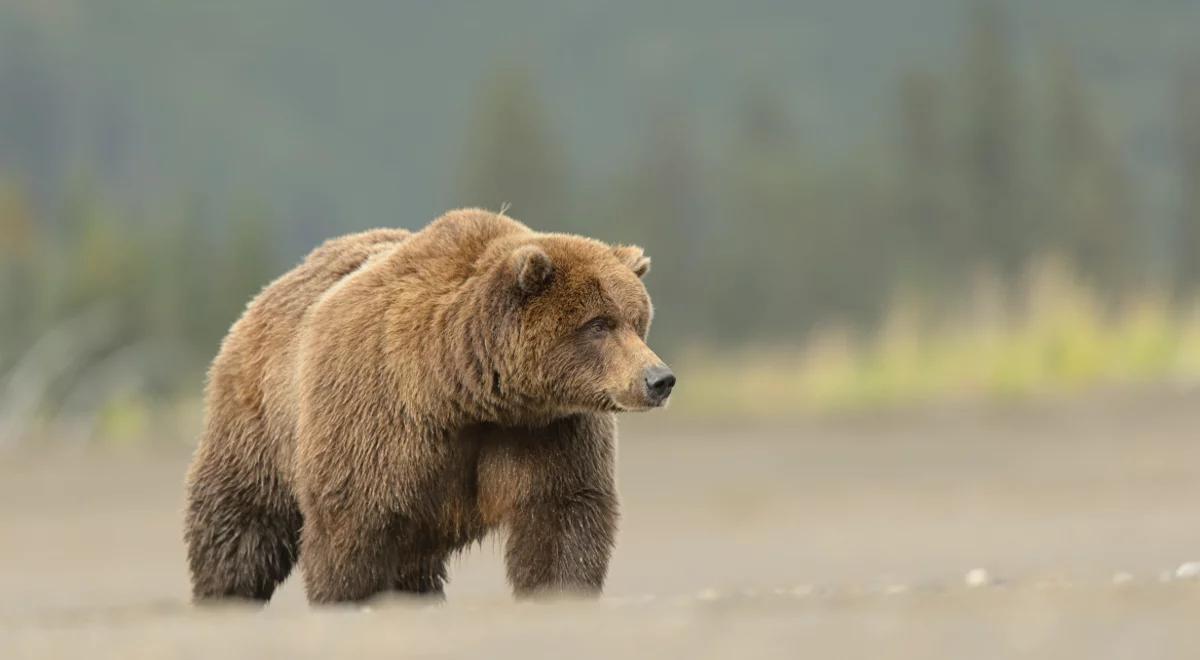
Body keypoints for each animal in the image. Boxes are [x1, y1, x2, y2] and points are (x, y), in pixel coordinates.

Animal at [186, 210, 676, 607]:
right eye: (598, 324)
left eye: (637, 321)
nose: (659, 379)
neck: (464, 391)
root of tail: (266, 295)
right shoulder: (378, 421)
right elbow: (351, 529)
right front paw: (348, 595)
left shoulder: (546, 433)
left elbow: (562, 517)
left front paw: (557, 592)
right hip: (260, 420)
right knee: (242, 523)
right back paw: (224, 592)